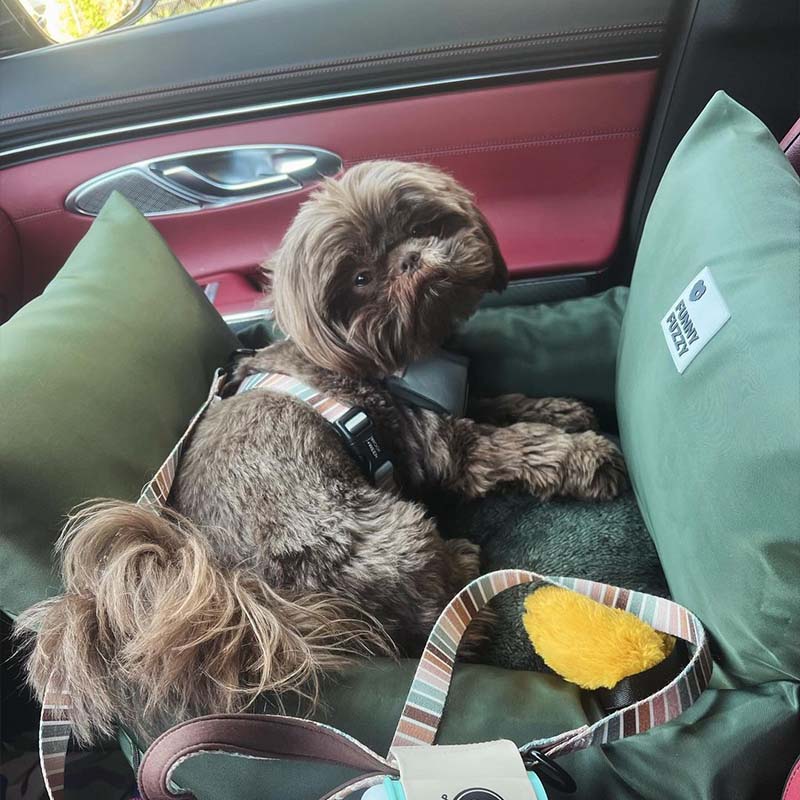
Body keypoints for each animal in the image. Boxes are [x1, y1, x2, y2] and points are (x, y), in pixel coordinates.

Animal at [17, 161, 626, 744]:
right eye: (360, 278)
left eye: (420, 227)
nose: (411, 259)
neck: (400, 360)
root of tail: (251, 599)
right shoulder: (444, 444)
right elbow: (517, 444)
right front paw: (588, 456)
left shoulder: (452, 402)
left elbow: (501, 401)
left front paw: (560, 409)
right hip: (389, 533)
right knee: (426, 617)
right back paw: (460, 573)